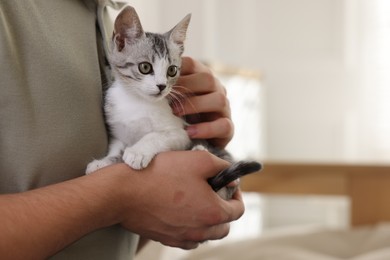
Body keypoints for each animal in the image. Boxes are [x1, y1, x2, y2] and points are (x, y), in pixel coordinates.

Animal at [87, 5, 260, 199]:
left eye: (172, 70)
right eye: (145, 67)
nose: (162, 86)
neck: (137, 101)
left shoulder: (181, 133)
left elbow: (155, 136)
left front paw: (137, 152)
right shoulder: (118, 133)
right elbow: (116, 149)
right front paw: (103, 162)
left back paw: (201, 151)